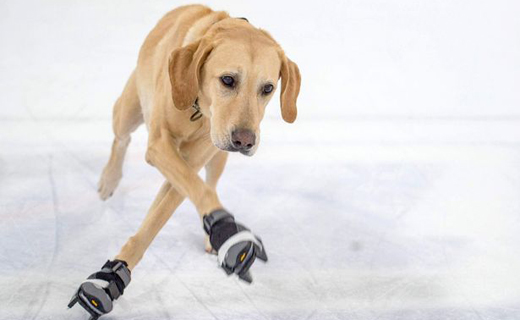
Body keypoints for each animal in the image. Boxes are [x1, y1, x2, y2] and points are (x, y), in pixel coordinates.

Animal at [69, 5, 300, 320]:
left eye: (267, 88)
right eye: (228, 80)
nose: (245, 141)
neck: (197, 108)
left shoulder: (189, 163)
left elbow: (191, 193)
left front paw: (223, 232)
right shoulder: (159, 146)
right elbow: (178, 201)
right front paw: (109, 280)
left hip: (218, 155)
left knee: (210, 181)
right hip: (128, 111)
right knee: (121, 139)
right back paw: (109, 179)